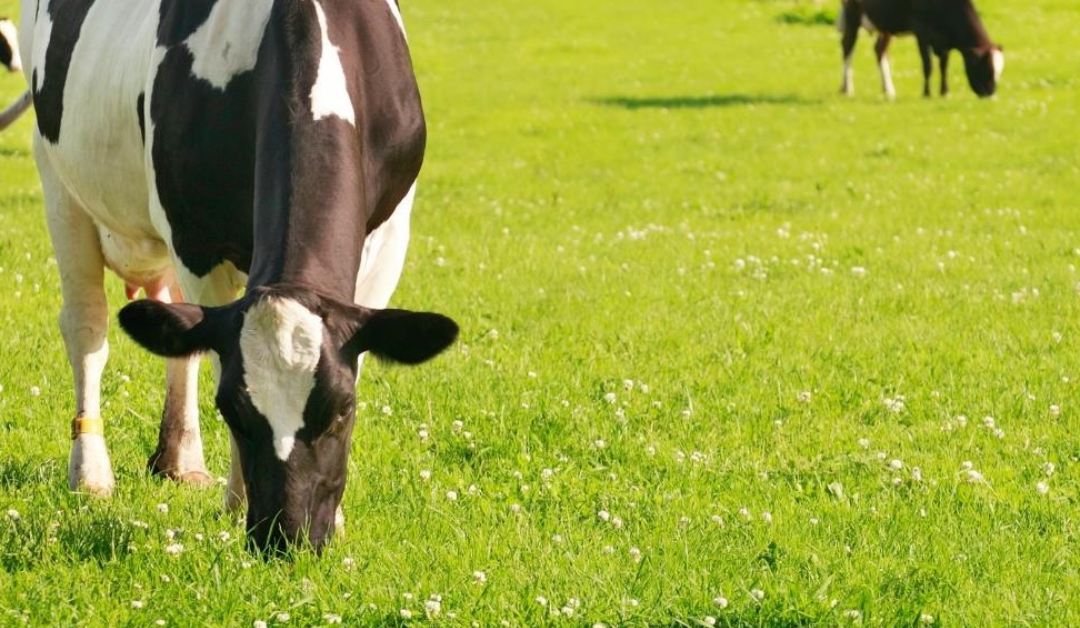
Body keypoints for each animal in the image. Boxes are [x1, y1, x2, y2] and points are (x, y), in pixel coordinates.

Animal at [11, 0, 460, 551]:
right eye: (231, 410)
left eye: (342, 409)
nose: (287, 537)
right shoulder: (196, 239)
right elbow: (205, 350)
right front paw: (237, 501)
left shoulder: (391, 235)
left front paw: (336, 519)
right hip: (57, 175)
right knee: (88, 329)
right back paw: (92, 472)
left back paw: (179, 462)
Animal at [833, 0, 1002, 97]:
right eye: (986, 69)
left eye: (999, 72)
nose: (991, 93)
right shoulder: (922, 33)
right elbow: (928, 66)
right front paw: (926, 93)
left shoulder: (945, 40)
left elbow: (944, 66)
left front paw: (944, 92)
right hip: (853, 13)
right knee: (847, 46)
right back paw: (847, 88)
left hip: (885, 25)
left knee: (879, 50)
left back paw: (888, 90)